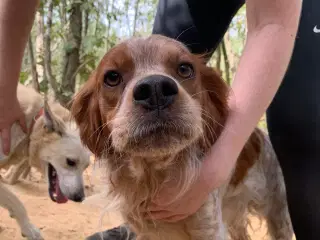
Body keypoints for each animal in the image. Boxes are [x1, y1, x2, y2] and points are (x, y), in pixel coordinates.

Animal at [71, 34, 294, 239]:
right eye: (112, 77)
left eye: (185, 69)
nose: (155, 89)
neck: (154, 177)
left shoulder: (209, 227)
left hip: (279, 215)